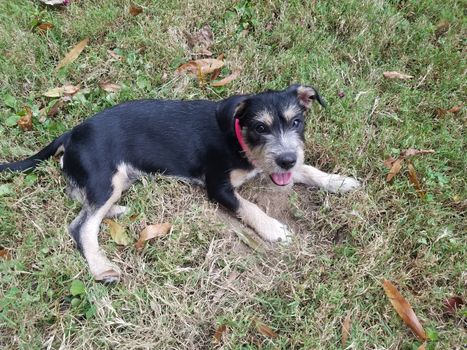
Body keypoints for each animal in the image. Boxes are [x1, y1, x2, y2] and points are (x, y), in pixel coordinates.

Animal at [0, 84, 362, 282]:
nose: (286, 158)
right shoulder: (218, 187)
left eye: (297, 122)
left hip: (114, 180)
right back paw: (102, 267)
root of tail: (70, 134)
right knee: (82, 226)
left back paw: (116, 212)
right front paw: (274, 229)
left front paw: (340, 181)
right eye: (260, 127)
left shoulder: (276, 166)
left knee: (83, 207)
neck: (238, 139)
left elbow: (309, 170)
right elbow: (249, 206)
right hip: (106, 177)